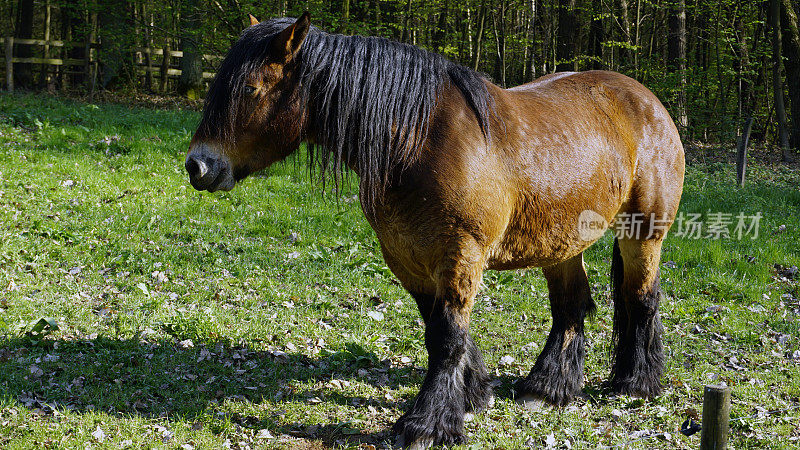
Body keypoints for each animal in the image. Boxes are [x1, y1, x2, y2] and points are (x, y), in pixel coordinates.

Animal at [184, 13, 684, 446]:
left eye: (251, 87)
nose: (198, 166)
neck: (416, 140)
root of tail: (648, 101)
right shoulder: (407, 257)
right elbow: (439, 329)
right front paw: (472, 393)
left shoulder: (460, 255)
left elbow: (446, 336)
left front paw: (427, 424)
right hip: (561, 242)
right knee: (570, 305)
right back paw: (548, 387)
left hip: (643, 232)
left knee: (640, 297)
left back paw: (636, 382)